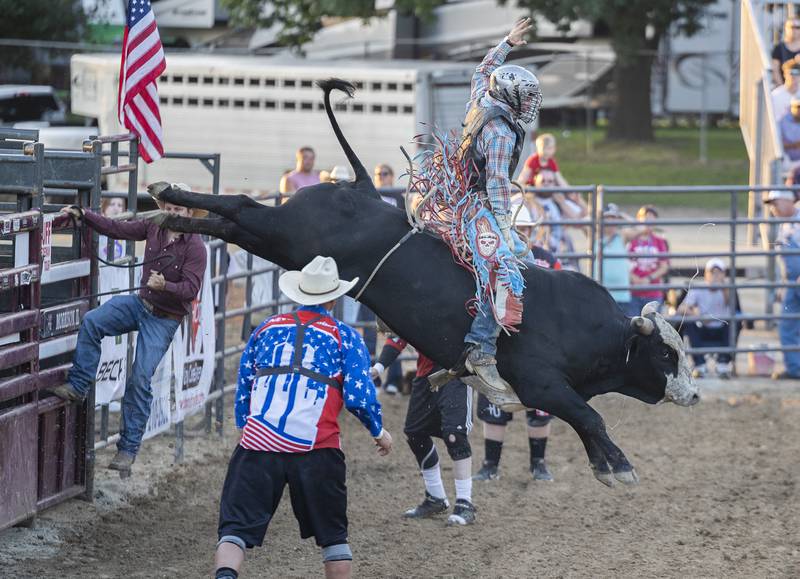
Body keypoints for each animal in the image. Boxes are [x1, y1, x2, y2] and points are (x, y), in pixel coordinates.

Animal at [152, 77, 700, 484]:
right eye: (665, 353)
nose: (694, 396)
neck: (591, 329)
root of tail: (360, 188)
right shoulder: (543, 384)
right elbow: (590, 416)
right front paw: (621, 467)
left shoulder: (549, 393)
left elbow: (584, 419)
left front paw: (605, 466)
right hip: (285, 234)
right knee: (242, 207)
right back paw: (167, 196)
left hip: (279, 244)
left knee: (234, 222)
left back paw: (166, 209)